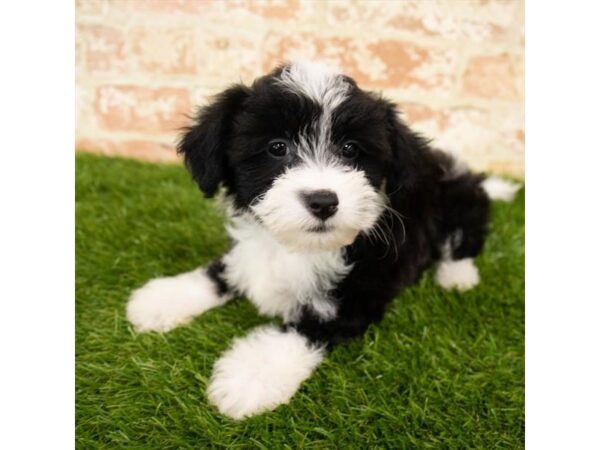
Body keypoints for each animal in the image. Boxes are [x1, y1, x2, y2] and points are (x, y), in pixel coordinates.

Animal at [126, 61, 520, 420]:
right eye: (277, 147)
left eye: (350, 149)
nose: (323, 201)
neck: (299, 247)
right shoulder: (248, 254)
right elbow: (218, 272)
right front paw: (161, 299)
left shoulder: (354, 296)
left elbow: (298, 332)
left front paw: (249, 378)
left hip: (458, 201)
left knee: (465, 238)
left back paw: (457, 277)